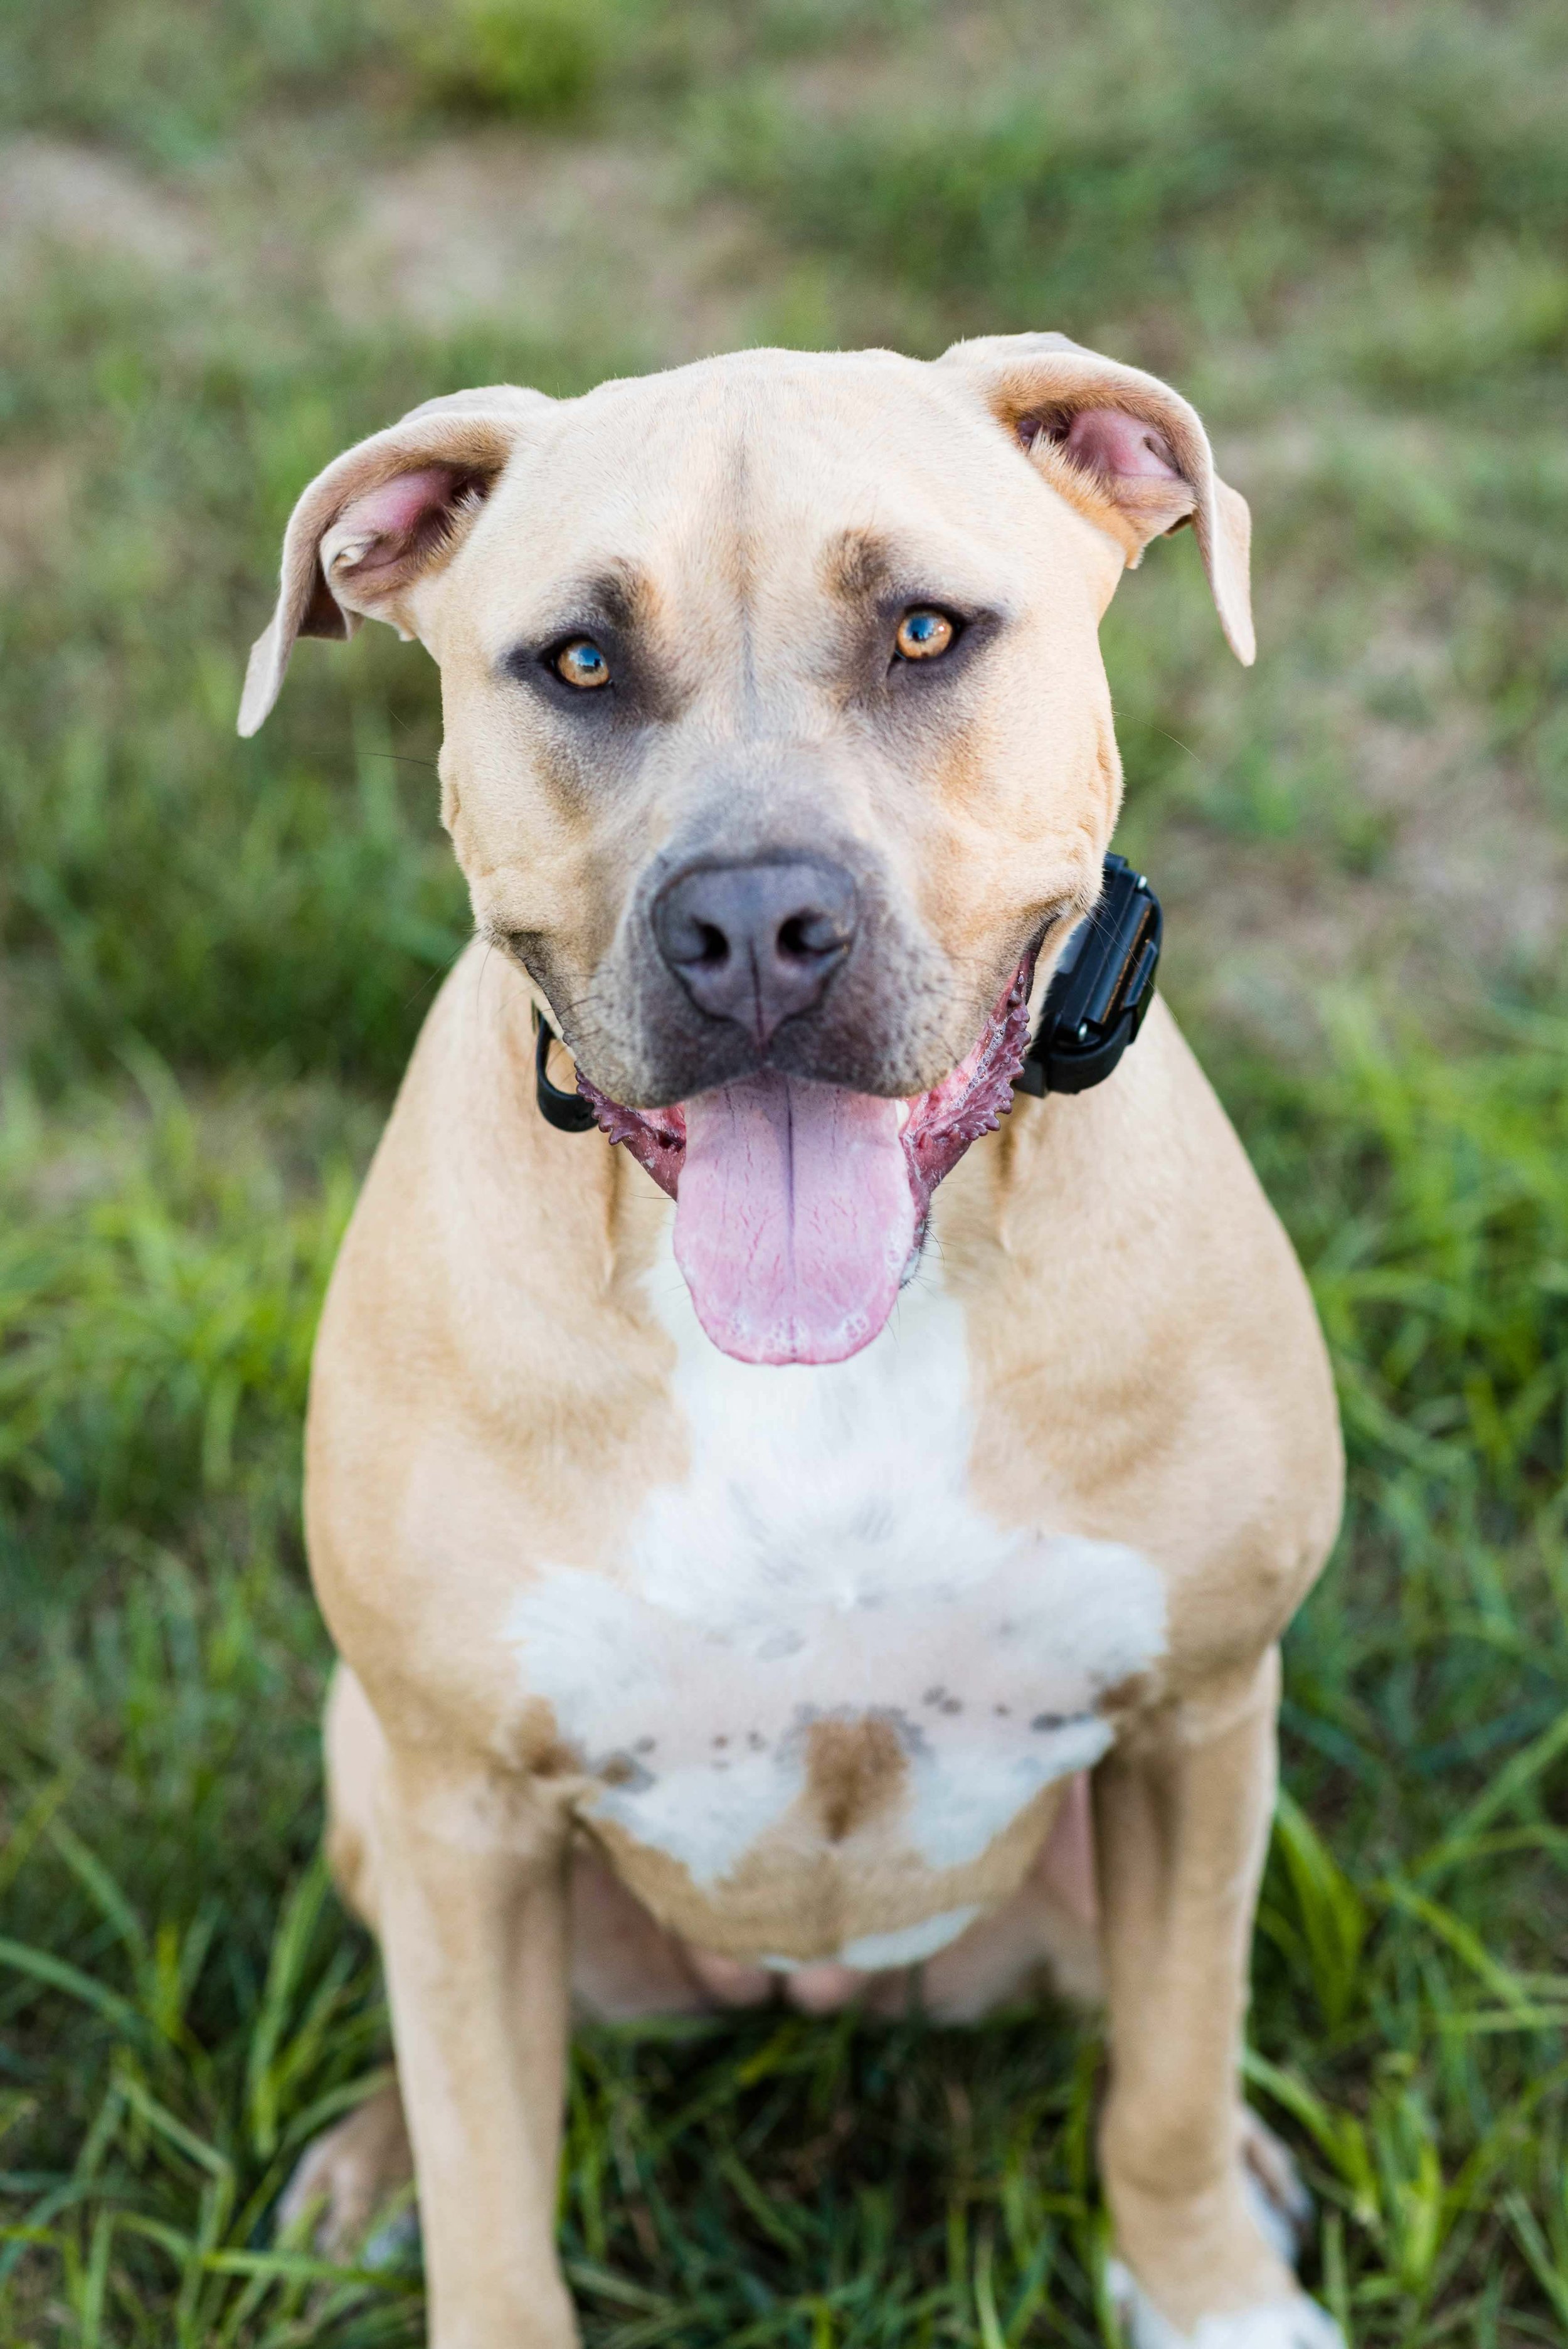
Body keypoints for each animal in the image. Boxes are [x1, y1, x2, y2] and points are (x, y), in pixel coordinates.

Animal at [245, 336, 1352, 2349]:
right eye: (577, 664)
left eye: (923, 631)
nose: (752, 923)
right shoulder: (460, 1808)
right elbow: (488, 2184)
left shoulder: (1197, 1721)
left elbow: (1166, 2073)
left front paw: (1208, 2290)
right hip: (378, 1774)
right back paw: (365, 2166)